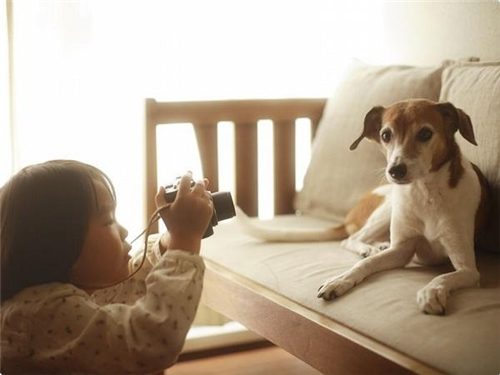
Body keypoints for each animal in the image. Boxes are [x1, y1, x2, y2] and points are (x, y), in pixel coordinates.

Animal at [237, 99, 488, 314]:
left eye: (425, 133)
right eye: (386, 135)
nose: (395, 171)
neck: (425, 193)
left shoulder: (468, 269)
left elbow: (443, 277)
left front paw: (431, 292)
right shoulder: (401, 249)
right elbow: (365, 265)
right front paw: (340, 279)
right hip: (387, 210)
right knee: (351, 238)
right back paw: (369, 247)